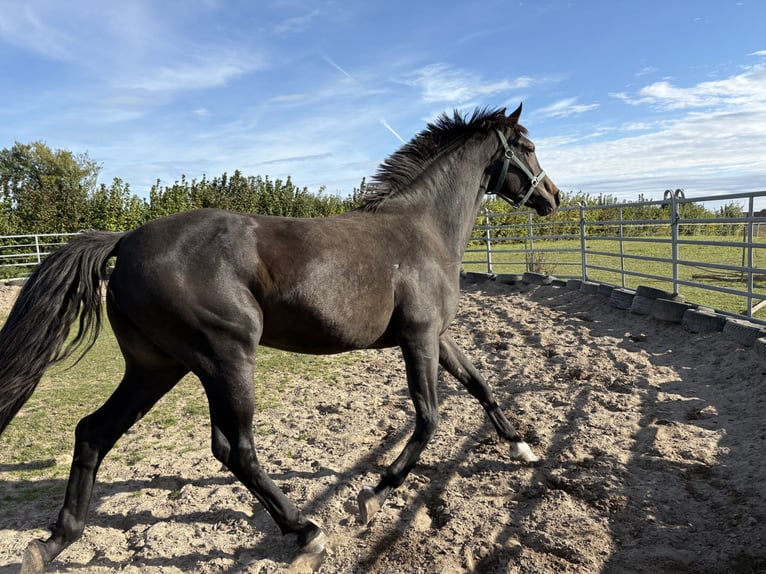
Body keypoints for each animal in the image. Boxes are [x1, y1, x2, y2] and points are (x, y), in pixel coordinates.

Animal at [0, 104, 560, 572]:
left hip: (156, 366)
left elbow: (480, 384)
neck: (421, 231)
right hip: (224, 357)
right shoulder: (418, 338)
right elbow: (428, 419)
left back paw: (51, 544)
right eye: (528, 146)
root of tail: (127, 240)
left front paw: (522, 448)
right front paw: (373, 497)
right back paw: (307, 532)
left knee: (94, 432)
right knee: (235, 448)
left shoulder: (437, 337)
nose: (552, 197)